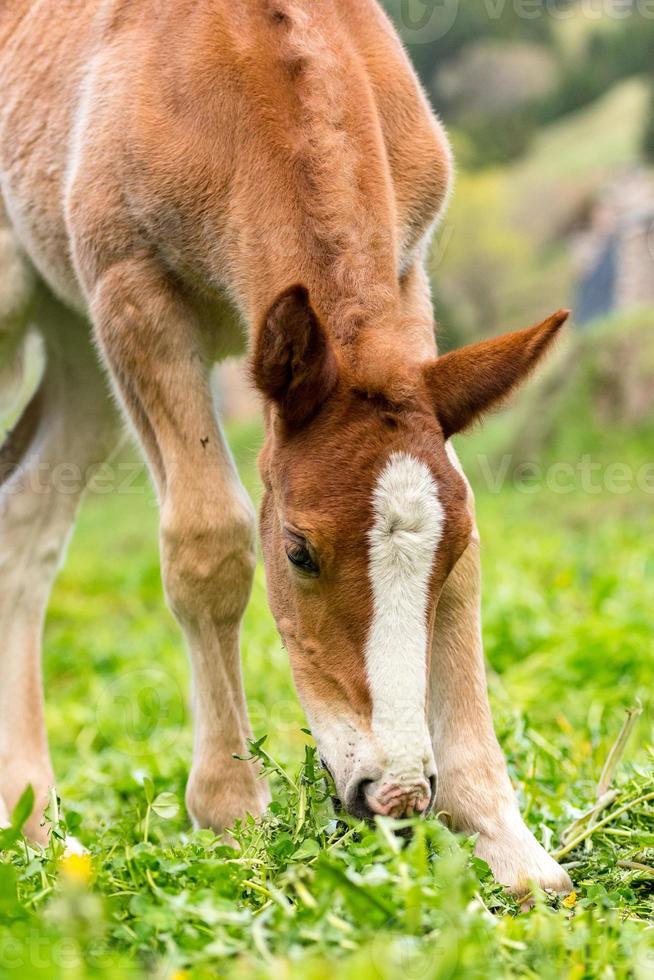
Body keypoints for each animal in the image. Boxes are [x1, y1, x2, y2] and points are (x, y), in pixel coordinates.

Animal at [0, 0, 576, 892]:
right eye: (299, 551)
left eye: (447, 551)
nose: (397, 795)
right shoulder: (132, 293)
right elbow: (208, 542)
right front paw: (233, 813)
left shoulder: (406, 275)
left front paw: (504, 841)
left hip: (75, 346)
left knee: (24, 512)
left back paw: (31, 818)